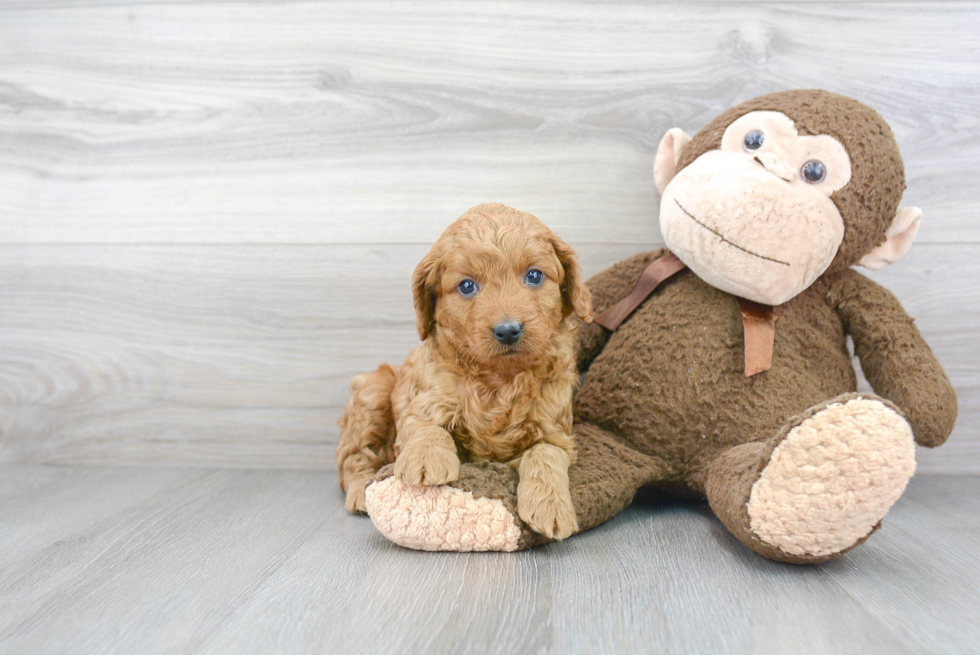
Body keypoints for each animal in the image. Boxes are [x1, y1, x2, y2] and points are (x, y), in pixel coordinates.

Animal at [336, 202, 596, 540]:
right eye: (467, 286)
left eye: (535, 276)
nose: (508, 330)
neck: (500, 379)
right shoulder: (423, 401)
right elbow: (425, 426)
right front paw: (426, 459)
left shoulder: (556, 431)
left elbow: (545, 455)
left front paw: (550, 506)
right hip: (372, 391)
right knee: (353, 459)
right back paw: (359, 494)